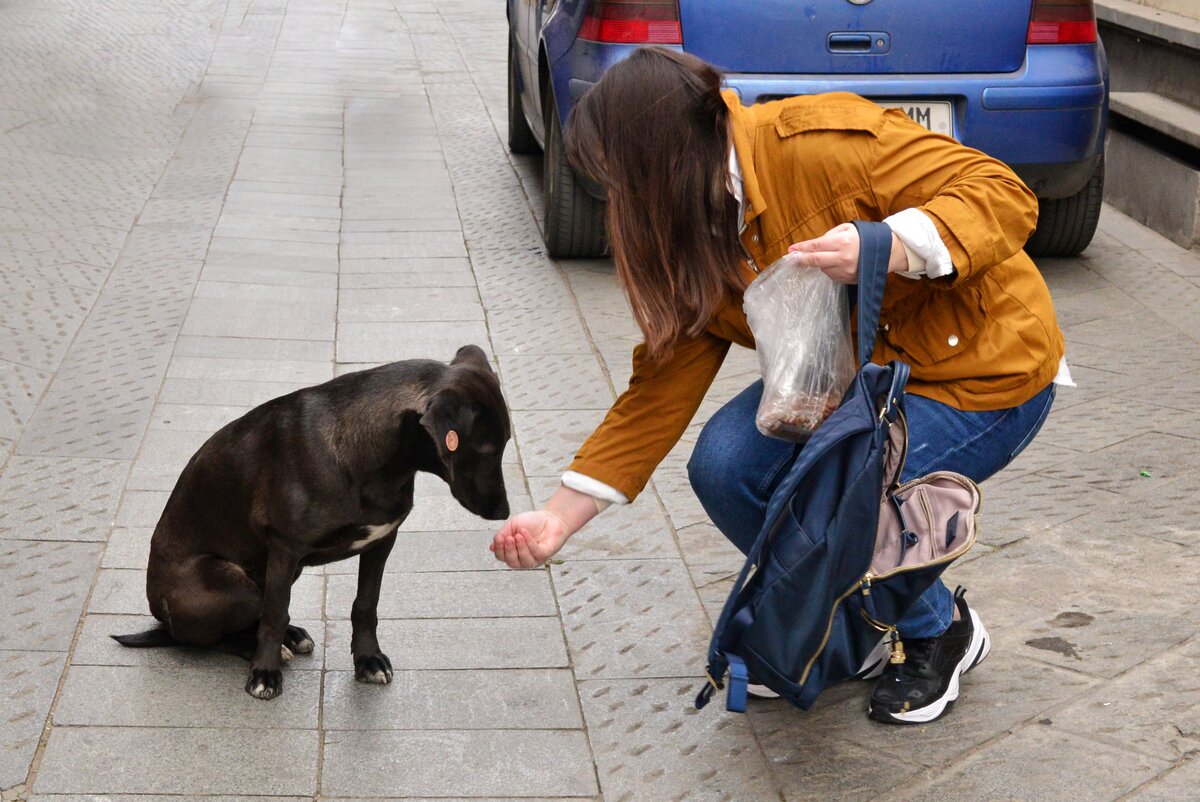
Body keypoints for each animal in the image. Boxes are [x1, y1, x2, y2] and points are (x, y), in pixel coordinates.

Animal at [117, 348, 516, 696]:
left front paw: (368, 659)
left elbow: (365, 604)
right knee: (214, 633)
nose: (505, 512)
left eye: (506, 442)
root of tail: (161, 617)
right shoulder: (284, 547)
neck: (376, 457)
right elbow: (274, 614)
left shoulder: (382, 541)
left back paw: (292, 637)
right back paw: (264, 649)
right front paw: (265, 672)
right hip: (229, 586)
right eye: (485, 449)